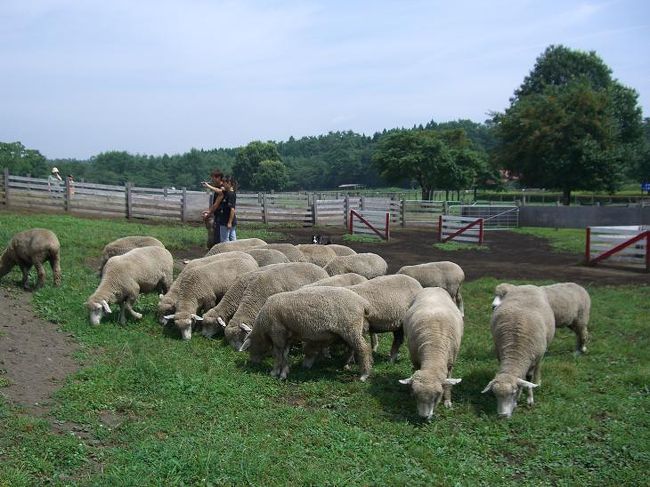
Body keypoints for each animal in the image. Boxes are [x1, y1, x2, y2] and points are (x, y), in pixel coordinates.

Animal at [239, 288, 372, 384]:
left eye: (250, 348)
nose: (253, 362)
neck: (263, 325)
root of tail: (363, 303)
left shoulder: (277, 333)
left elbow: (277, 355)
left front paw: (274, 372)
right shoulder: (287, 336)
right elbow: (285, 355)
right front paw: (284, 373)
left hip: (351, 328)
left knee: (364, 349)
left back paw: (364, 374)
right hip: (352, 330)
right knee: (355, 348)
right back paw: (347, 365)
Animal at [398, 288, 464, 422]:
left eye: (437, 395)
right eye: (416, 395)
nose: (424, 417)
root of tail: (433, 287)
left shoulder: (450, 363)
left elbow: (448, 383)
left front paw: (447, 401)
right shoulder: (415, 359)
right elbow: (414, 369)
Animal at [480, 286, 552, 420]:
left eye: (512, 393)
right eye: (495, 395)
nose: (502, 416)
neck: (516, 351)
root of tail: (526, 285)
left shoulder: (533, 359)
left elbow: (528, 379)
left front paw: (529, 399)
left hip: (541, 353)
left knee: (538, 367)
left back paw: (537, 381)